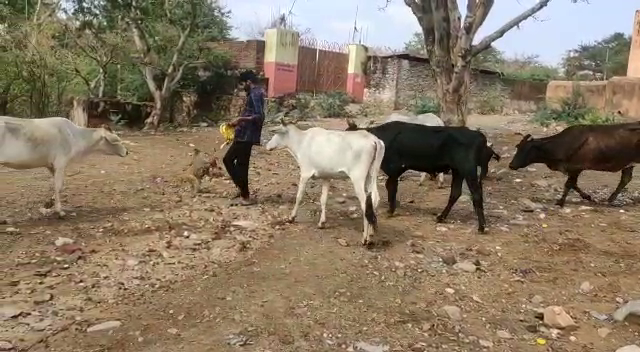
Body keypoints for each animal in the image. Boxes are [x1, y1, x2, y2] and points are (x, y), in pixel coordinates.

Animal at [0, 117, 130, 216]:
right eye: (118, 140)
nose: (127, 152)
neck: (75, 136)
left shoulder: (51, 166)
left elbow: (60, 186)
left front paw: (49, 203)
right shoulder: (60, 163)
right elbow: (58, 186)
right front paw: (59, 211)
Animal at [348, 119, 488, 232]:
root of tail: (478, 135)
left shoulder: (394, 168)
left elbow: (391, 186)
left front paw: (390, 211)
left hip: (468, 169)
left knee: (476, 194)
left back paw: (481, 226)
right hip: (458, 170)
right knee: (455, 192)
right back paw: (441, 217)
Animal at [512, 123, 640, 206]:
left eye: (527, 149)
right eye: (517, 147)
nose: (511, 165)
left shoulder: (576, 168)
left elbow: (569, 184)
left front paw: (560, 202)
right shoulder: (572, 169)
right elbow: (573, 184)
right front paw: (587, 197)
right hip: (628, 163)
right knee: (625, 179)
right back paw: (610, 200)